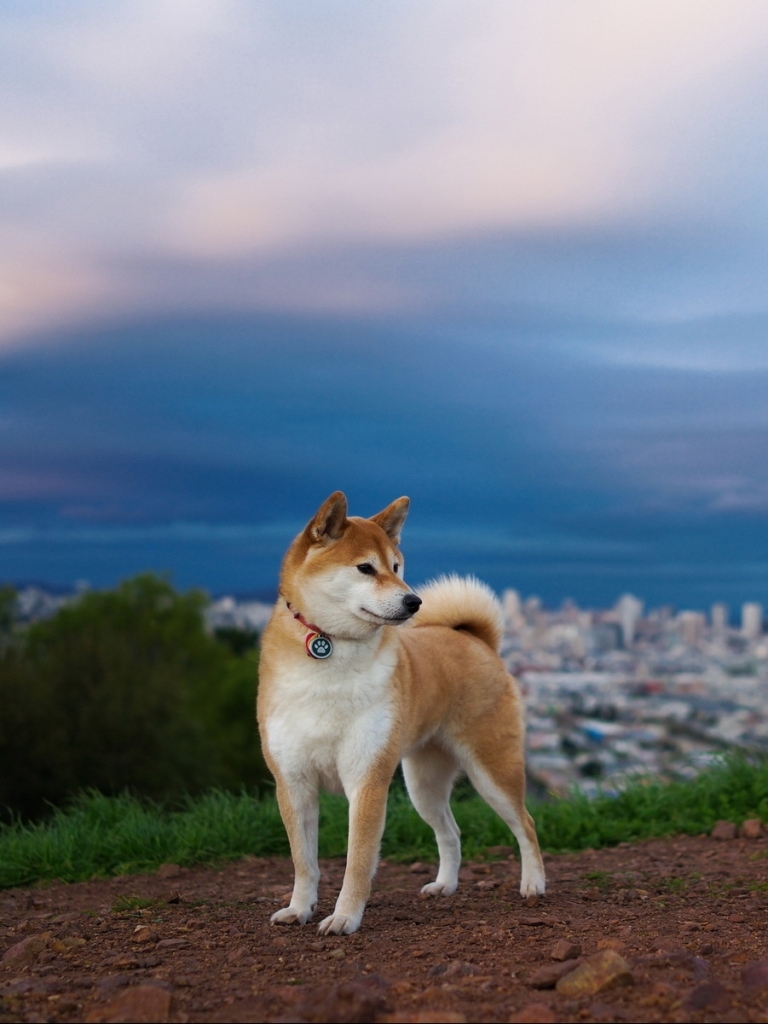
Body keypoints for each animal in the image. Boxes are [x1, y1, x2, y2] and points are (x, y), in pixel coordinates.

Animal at [259, 491, 548, 933]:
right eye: (365, 567)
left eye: (396, 567)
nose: (414, 600)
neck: (330, 650)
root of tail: (476, 640)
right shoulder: (293, 782)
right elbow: (303, 862)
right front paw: (299, 909)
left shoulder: (366, 779)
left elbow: (357, 861)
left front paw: (344, 917)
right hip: (423, 785)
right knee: (451, 832)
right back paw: (445, 885)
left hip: (492, 770)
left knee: (526, 825)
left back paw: (533, 884)